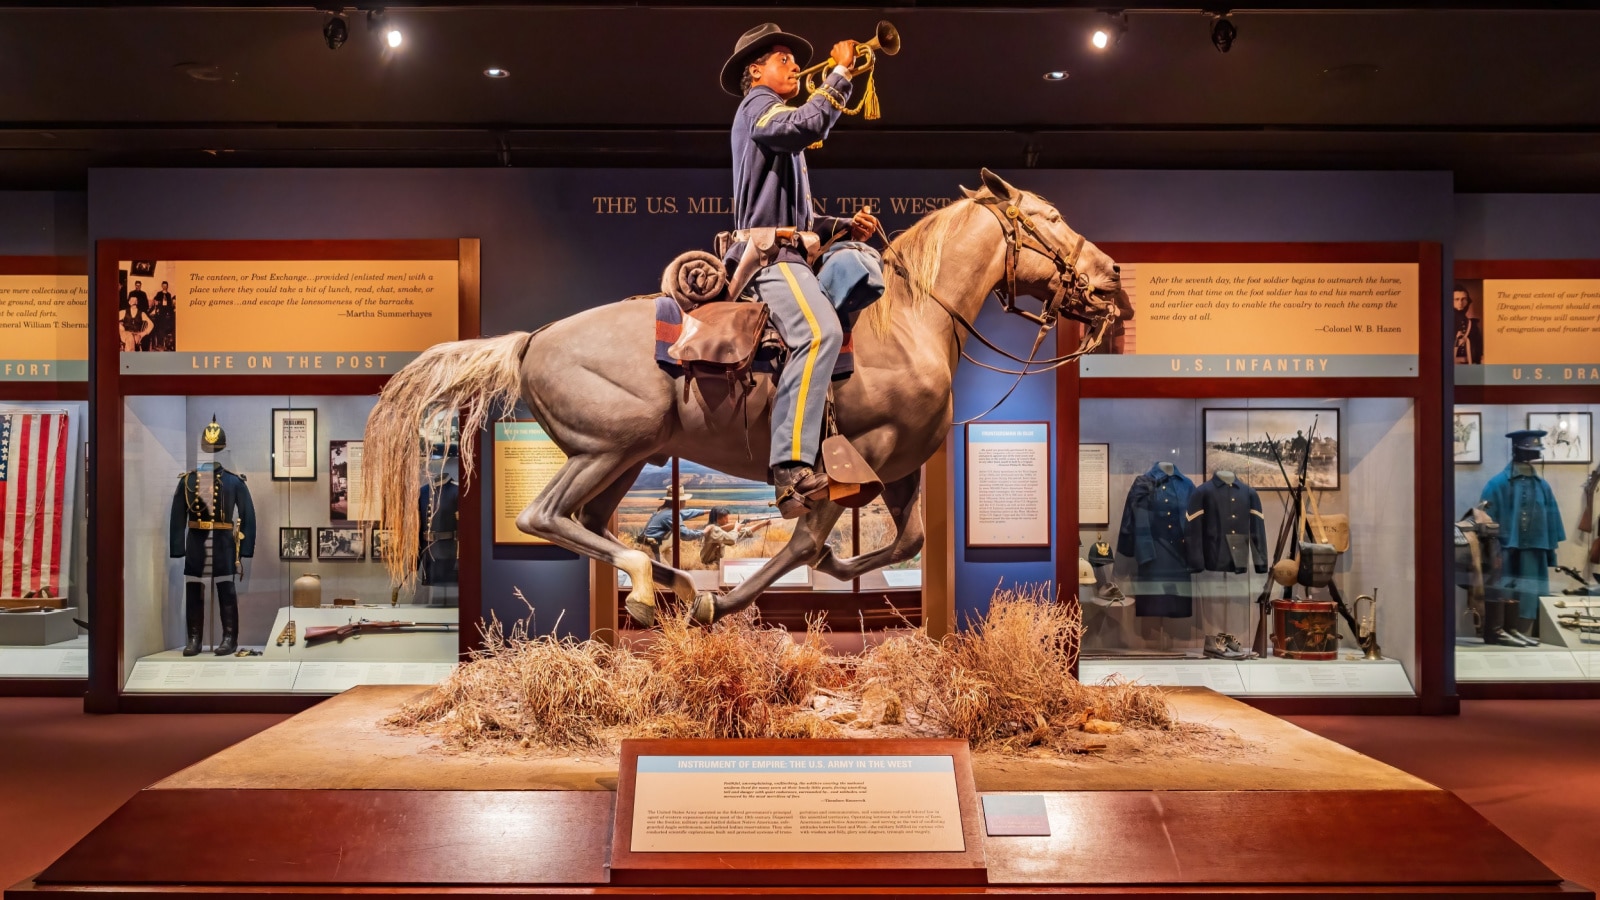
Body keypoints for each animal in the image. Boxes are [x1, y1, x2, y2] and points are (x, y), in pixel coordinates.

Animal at [366, 171, 1126, 627]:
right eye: (1051, 217)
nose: (1112, 275)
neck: (910, 321)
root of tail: (531, 341)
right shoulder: (846, 466)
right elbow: (804, 541)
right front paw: (732, 597)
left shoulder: (900, 467)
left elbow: (901, 539)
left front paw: (826, 573)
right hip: (611, 447)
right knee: (543, 515)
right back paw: (660, 583)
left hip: (624, 461)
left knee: (593, 522)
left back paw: (668, 584)